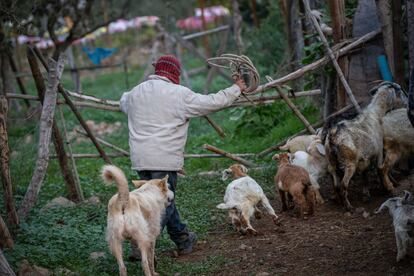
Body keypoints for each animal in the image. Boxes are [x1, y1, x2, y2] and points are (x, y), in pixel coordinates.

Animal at [324, 82, 408, 211]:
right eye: (400, 91)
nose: (407, 102)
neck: (376, 114)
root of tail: (333, 136)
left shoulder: (366, 158)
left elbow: (365, 175)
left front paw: (366, 194)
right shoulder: (379, 152)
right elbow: (380, 169)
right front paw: (386, 187)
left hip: (332, 162)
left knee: (336, 184)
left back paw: (338, 201)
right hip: (349, 163)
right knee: (343, 185)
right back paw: (348, 207)